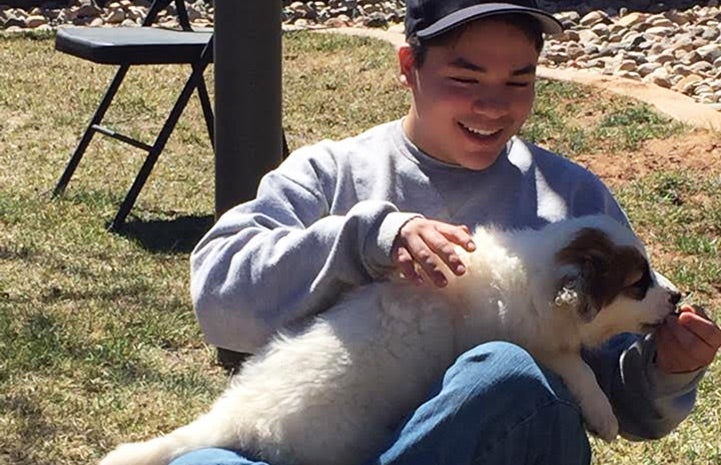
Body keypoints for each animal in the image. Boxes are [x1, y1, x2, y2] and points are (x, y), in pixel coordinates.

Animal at [98, 213, 676, 464]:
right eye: (637, 283)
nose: (678, 299)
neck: (528, 272)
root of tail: (235, 418)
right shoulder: (533, 340)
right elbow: (575, 365)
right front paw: (602, 413)